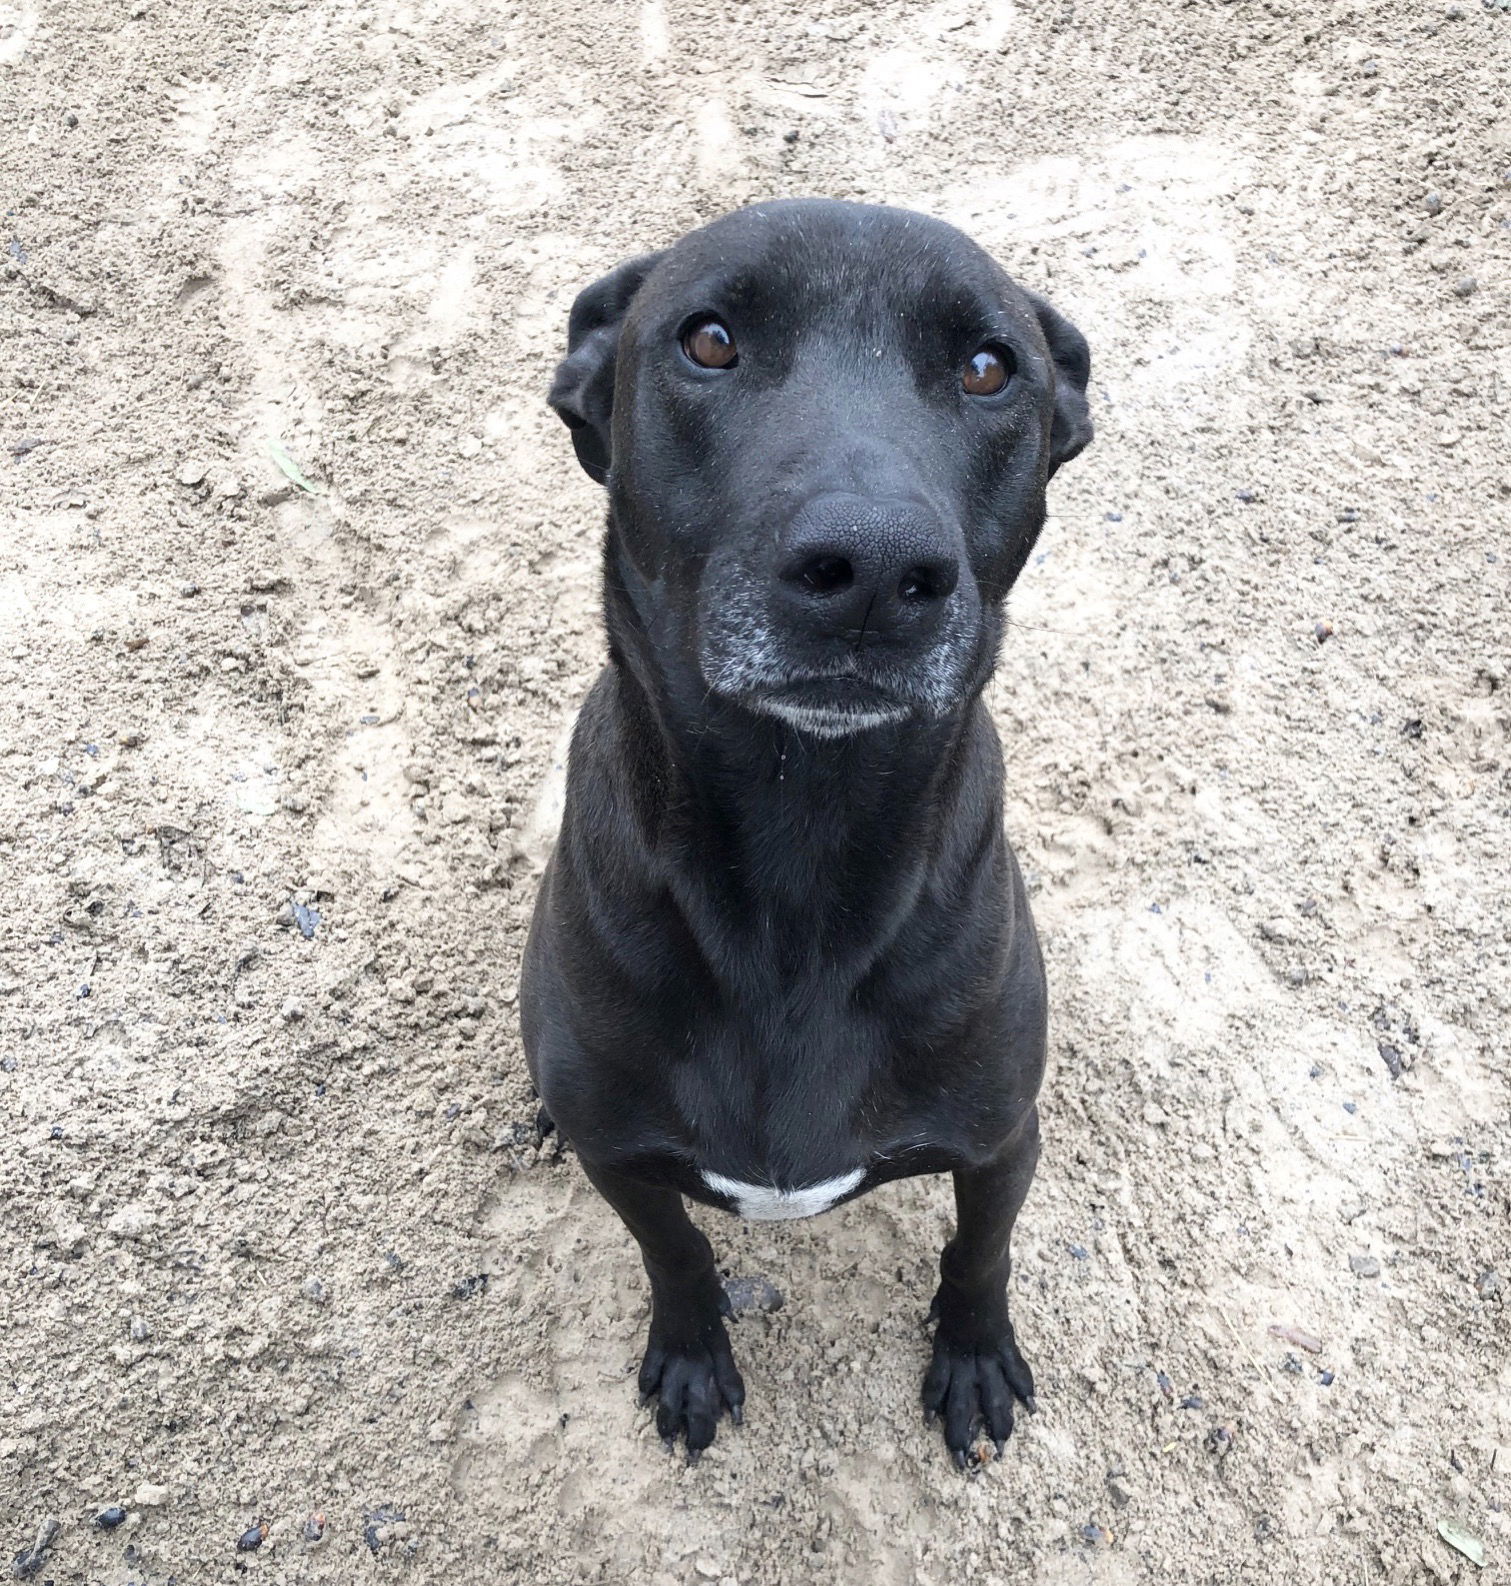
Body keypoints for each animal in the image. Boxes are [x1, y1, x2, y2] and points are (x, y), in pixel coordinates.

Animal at [520, 198, 1084, 1459]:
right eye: (710, 340)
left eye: (988, 368)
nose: (873, 569)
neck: (802, 849)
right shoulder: (625, 1161)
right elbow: (676, 1249)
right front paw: (690, 1354)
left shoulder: (1001, 1139)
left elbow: (980, 1248)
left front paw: (971, 1355)